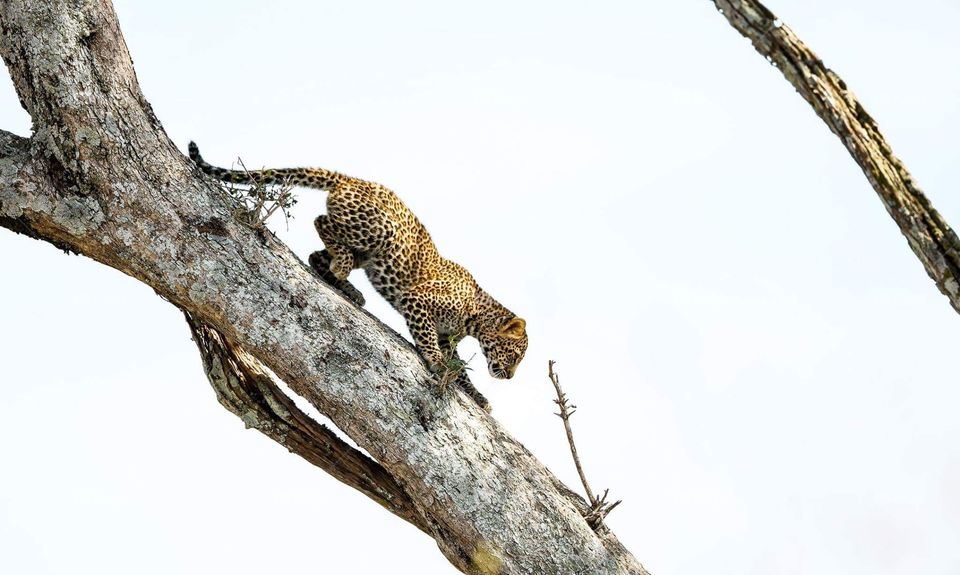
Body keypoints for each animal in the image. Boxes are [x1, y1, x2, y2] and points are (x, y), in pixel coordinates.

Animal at [188, 141, 527, 412]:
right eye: (515, 354)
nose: (510, 376)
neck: (476, 316)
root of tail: (350, 178)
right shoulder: (418, 301)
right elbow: (431, 343)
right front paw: (434, 360)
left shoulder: (449, 337)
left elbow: (463, 373)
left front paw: (478, 396)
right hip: (380, 231)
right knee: (321, 221)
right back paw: (342, 269)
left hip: (369, 250)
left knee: (316, 255)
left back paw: (348, 286)